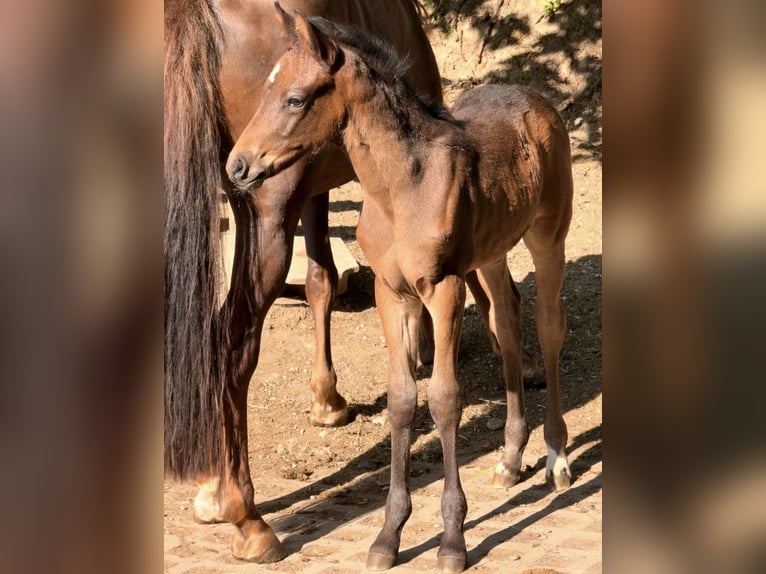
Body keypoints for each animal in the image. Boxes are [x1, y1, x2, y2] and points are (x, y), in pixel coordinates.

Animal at [164, 0, 442, 563]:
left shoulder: (315, 182)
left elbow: (320, 281)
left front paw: (326, 399)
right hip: (265, 210)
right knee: (232, 341)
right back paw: (246, 516)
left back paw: (211, 486)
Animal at [226, 9, 574, 572]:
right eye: (265, 90)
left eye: (296, 99)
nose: (237, 166)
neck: (402, 188)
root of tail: (536, 97)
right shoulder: (393, 296)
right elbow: (403, 399)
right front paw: (389, 534)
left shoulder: (443, 289)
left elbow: (445, 398)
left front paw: (452, 539)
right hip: (492, 254)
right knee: (506, 321)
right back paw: (509, 458)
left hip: (548, 238)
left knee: (547, 326)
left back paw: (557, 458)